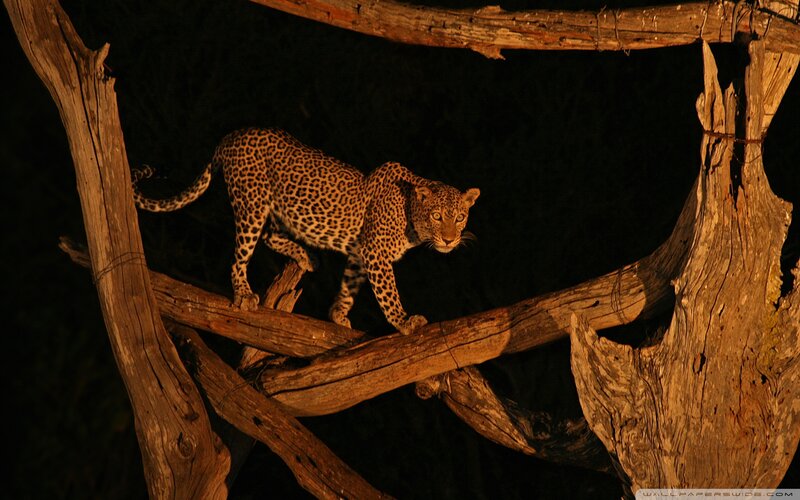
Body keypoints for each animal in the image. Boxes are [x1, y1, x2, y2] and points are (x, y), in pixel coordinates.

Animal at [132, 127, 480, 335]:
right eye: (437, 216)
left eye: (461, 217)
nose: (450, 239)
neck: (409, 216)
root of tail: (232, 135)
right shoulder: (376, 254)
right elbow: (387, 293)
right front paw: (404, 322)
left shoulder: (360, 253)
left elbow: (350, 285)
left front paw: (338, 314)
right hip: (251, 204)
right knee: (240, 256)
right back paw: (244, 293)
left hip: (275, 208)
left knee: (270, 237)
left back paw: (306, 257)